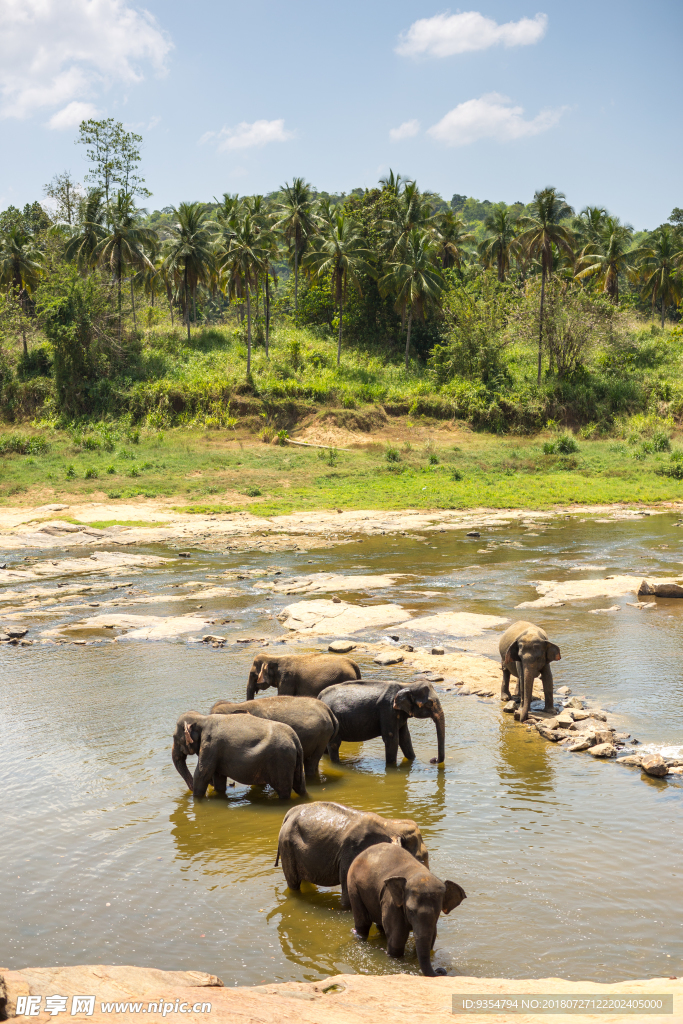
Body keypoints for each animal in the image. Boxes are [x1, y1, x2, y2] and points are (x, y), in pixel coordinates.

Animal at [172, 712, 305, 798]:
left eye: (174, 737)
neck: (202, 718)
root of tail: (295, 739)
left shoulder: (210, 745)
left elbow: (201, 774)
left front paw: (195, 799)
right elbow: (219, 777)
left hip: (281, 761)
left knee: (284, 791)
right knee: (300, 786)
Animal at [274, 794, 428, 909]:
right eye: (420, 859)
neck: (390, 824)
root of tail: (289, 813)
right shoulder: (352, 851)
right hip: (287, 847)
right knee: (293, 883)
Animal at [317, 679, 446, 770]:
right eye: (430, 703)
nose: (433, 759)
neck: (406, 684)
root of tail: (319, 696)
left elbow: (405, 737)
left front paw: (412, 760)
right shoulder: (387, 710)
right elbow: (392, 738)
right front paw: (391, 768)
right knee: (334, 745)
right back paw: (336, 765)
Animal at [350, 843, 466, 978]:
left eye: (437, 913)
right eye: (410, 911)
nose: (440, 970)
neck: (418, 873)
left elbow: (431, 939)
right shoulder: (392, 902)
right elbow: (397, 940)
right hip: (353, 885)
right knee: (363, 923)